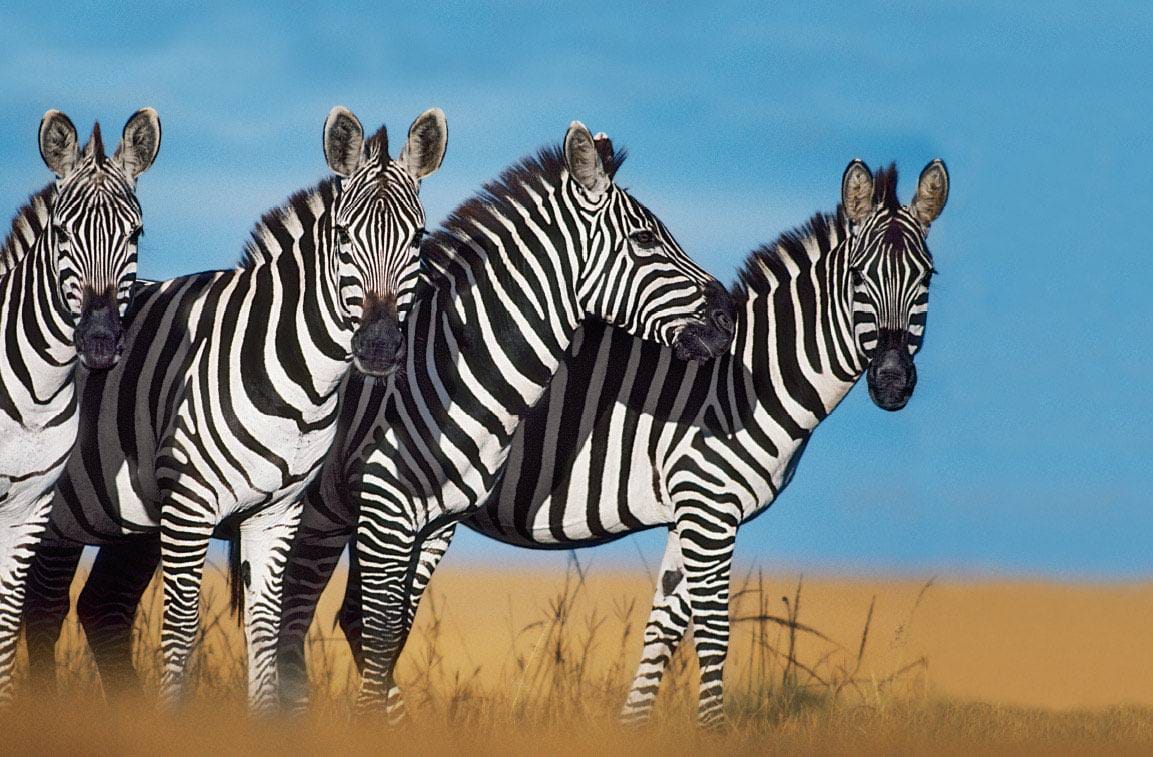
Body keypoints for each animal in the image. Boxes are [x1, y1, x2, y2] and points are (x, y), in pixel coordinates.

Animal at [300, 158, 950, 725]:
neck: (751, 377)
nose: (893, 381)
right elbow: (712, 633)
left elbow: (663, 628)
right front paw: (712, 732)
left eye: (927, 278)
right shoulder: (709, 505)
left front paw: (633, 729)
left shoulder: (694, 513)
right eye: (860, 278)